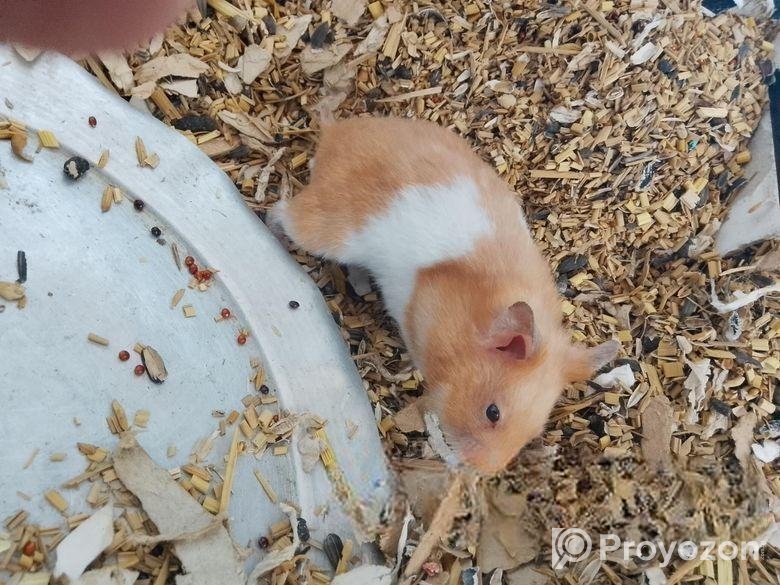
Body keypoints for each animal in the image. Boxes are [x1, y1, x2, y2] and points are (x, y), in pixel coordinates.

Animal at [269, 117, 619, 475]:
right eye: (492, 412)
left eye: (531, 434)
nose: (482, 470)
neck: (465, 337)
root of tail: (333, 132)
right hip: (326, 228)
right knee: (279, 210)